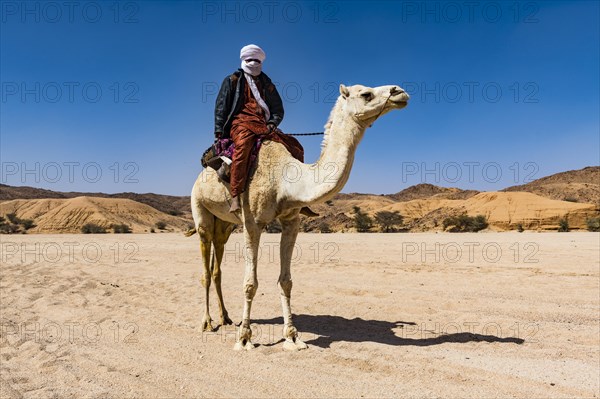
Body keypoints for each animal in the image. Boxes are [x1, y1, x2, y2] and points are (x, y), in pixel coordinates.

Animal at [190, 83, 410, 350]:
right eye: (366, 94)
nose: (399, 92)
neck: (284, 179)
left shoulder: (291, 221)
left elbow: (286, 281)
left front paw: (292, 337)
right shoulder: (253, 222)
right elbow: (250, 283)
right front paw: (244, 339)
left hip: (224, 225)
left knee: (217, 266)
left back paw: (225, 317)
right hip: (200, 210)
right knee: (205, 267)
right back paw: (207, 322)